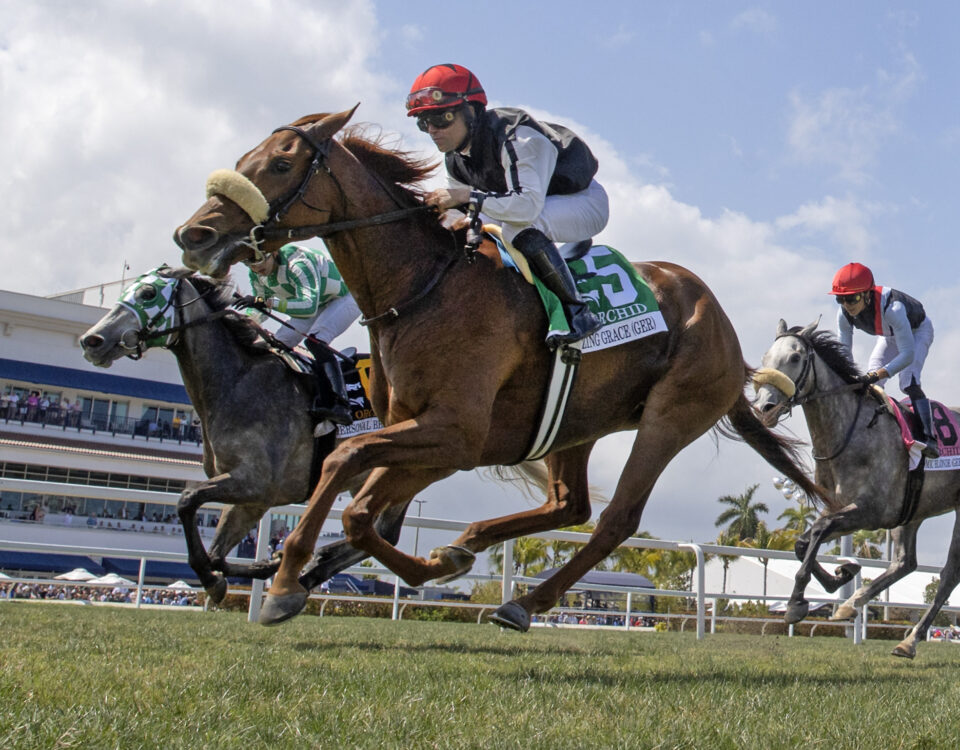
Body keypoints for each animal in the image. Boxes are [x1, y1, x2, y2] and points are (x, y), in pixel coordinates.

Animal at [174, 110, 832, 628]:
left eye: (281, 164)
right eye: (245, 159)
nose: (194, 233)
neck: (422, 286)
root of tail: (722, 324)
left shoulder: (455, 433)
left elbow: (348, 475)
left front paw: (287, 583)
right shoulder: (424, 433)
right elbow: (364, 510)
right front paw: (411, 560)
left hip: (671, 415)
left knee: (615, 519)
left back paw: (522, 602)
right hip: (576, 421)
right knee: (569, 506)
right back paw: (471, 547)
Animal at [752, 320, 960, 660]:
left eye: (795, 358)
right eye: (764, 357)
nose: (763, 407)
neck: (848, 433)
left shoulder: (871, 512)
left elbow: (817, 532)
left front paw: (798, 602)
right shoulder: (841, 507)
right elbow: (803, 542)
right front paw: (841, 576)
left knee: (949, 574)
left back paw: (909, 641)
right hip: (912, 511)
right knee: (905, 562)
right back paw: (852, 604)